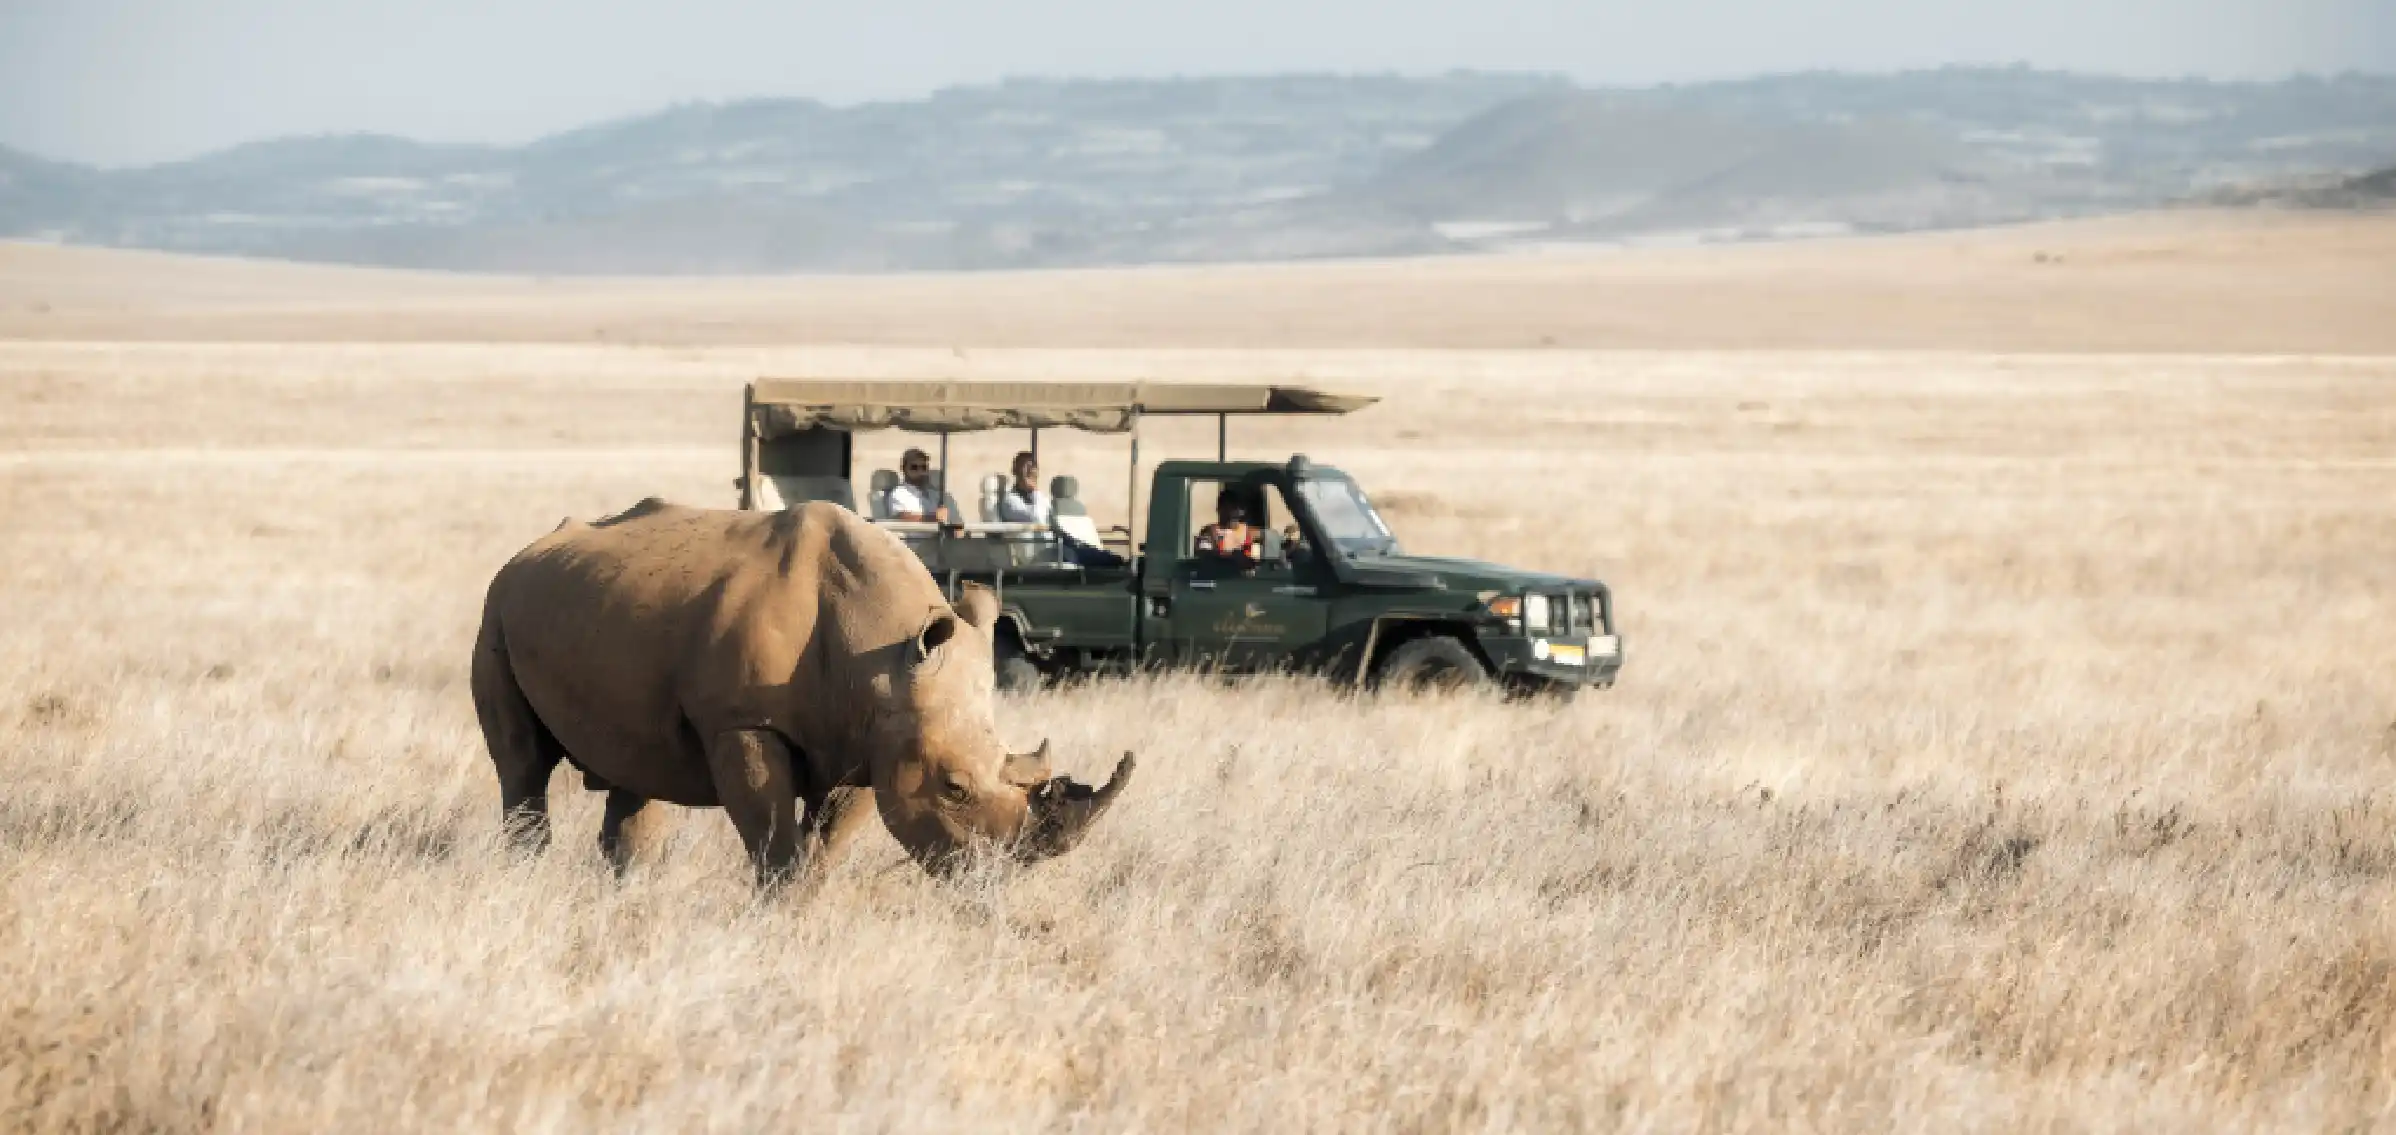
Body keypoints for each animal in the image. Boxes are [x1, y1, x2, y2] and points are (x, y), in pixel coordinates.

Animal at [469, 497, 1133, 885]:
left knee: (634, 771)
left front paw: (806, 908)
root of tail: (528, 551)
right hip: (495, 608)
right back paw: (527, 877)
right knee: (522, 765)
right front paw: (779, 910)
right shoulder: (742, 722)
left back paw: (627, 888)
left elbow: (825, 847)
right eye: (953, 788)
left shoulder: (872, 741)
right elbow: (772, 840)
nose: (997, 879)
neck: (884, 658)